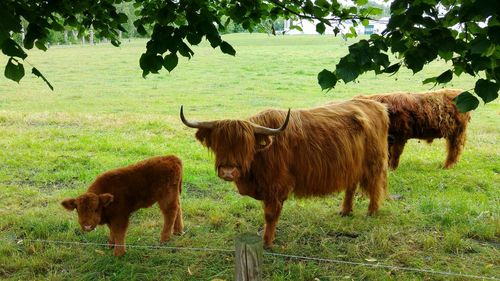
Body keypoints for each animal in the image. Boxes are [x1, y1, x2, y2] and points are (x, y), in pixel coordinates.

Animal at [181, 99, 390, 246]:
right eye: (218, 144)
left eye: (245, 146)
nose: (228, 172)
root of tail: (376, 104)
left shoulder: (277, 186)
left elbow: (270, 215)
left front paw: (267, 243)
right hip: (351, 165)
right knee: (351, 185)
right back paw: (345, 211)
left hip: (373, 163)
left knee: (375, 186)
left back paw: (371, 212)